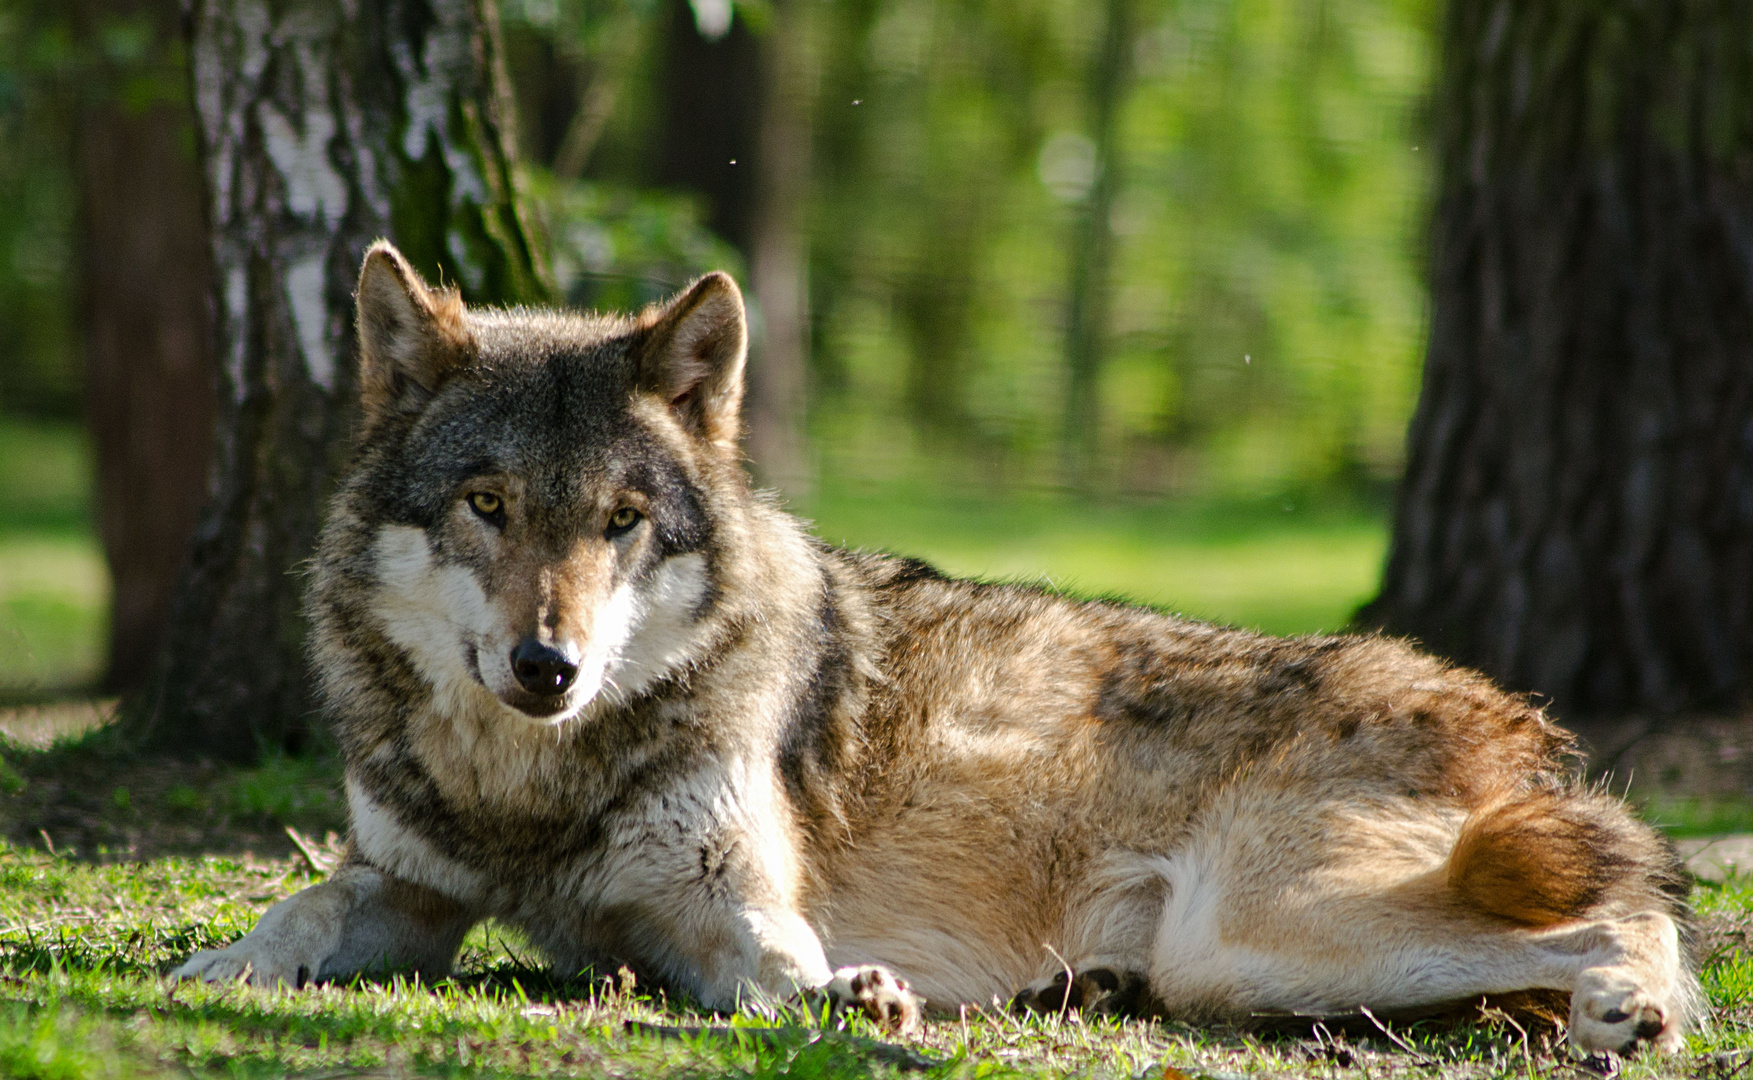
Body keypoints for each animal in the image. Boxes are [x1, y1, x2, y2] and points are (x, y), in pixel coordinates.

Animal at [177, 241, 1696, 1051]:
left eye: (620, 521)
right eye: (487, 505)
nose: (546, 669)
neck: (530, 792)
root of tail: (1502, 710)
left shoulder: (731, 910)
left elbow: (783, 970)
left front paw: (857, 995)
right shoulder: (405, 885)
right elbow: (306, 903)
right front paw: (224, 966)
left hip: (1263, 935)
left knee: (1632, 917)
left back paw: (1630, 1010)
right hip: (1261, 963)